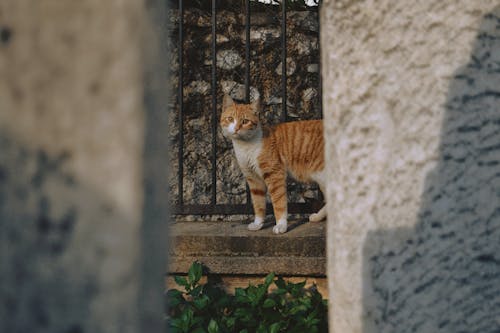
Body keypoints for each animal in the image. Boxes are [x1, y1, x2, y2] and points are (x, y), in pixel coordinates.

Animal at [222, 93, 324, 233]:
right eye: (230, 119)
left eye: (245, 121)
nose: (236, 128)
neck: (245, 146)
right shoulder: (253, 179)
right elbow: (258, 203)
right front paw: (258, 224)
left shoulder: (275, 175)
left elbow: (279, 202)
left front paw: (281, 225)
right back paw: (318, 217)